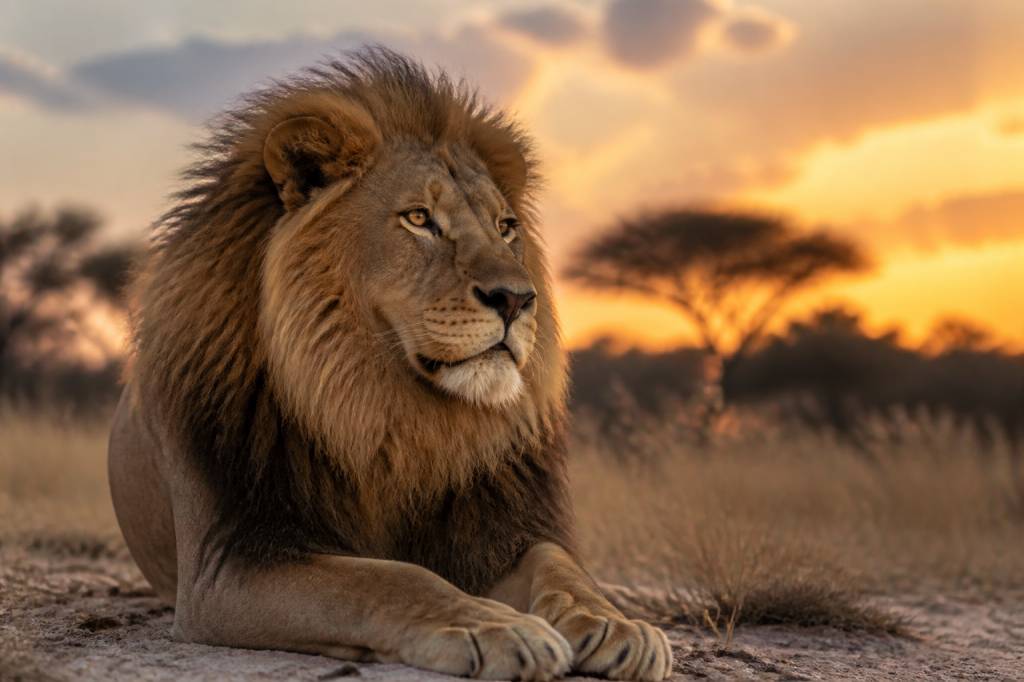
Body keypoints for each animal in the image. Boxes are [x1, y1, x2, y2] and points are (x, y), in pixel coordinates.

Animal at [108, 48, 672, 681]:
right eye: (419, 218)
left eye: (506, 227)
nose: (517, 299)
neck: (385, 412)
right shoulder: (228, 563)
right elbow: (388, 579)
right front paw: (495, 627)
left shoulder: (496, 533)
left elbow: (559, 563)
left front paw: (617, 624)